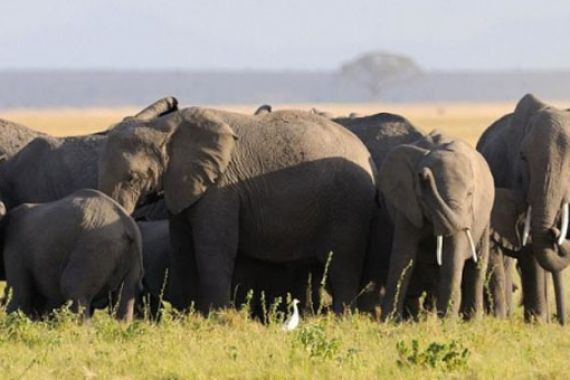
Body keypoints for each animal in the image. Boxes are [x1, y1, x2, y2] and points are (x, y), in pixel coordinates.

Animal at [0, 189, 141, 322]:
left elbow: (19, 296)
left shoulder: (15, 249)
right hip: (132, 261)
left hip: (93, 250)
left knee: (73, 291)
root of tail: (129, 225)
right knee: (125, 302)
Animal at [96, 104, 378, 314]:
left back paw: (340, 318)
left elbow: (214, 246)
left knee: (342, 262)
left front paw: (217, 318)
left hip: (349, 203)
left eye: (132, 178)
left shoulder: (221, 187)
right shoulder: (182, 182)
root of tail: (369, 159)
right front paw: (188, 316)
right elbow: (182, 246)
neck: (165, 126)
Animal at [378, 132, 492, 320]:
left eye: (469, 194)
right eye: (421, 196)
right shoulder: (408, 205)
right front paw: (390, 320)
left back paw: (472, 321)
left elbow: (453, 257)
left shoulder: (466, 214)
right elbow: (404, 256)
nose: (423, 174)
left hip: (485, 220)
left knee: (477, 266)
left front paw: (447, 322)